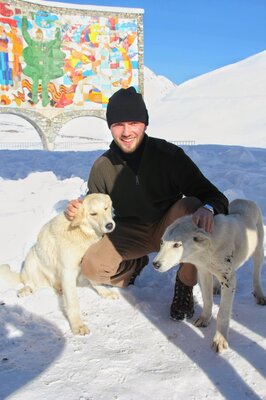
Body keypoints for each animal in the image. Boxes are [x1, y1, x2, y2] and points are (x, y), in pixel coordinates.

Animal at [1, 193, 117, 334]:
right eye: (93, 214)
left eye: (106, 208)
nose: (110, 225)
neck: (81, 232)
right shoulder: (68, 271)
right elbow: (73, 303)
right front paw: (77, 325)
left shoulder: (86, 262)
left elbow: (95, 282)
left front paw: (106, 293)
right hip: (31, 260)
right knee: (30, 283)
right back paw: (26, 289)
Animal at [153, 198, 264, 352]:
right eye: (162, 242)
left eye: (177, 245)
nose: (155, 264)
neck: (207, 250)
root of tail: (244, 200)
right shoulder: (203, 272)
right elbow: (207, 300)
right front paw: (204, 319)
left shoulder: (229, 279)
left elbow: (223, 313)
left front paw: (220, 339)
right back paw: (216, 287)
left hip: (258, 251)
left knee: (256, 274)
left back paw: (259, 294)